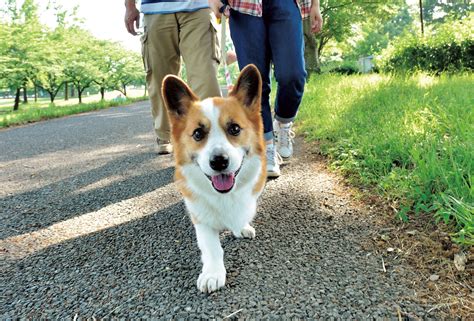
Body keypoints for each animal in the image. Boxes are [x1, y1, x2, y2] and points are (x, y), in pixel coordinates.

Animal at [162, 64, 266, 292]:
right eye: (198, 134)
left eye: (234, 128)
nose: (219, 162)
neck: (225, 195)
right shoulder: (201, 218)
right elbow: (212, 247)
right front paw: (212, 274)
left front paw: (242, 226)